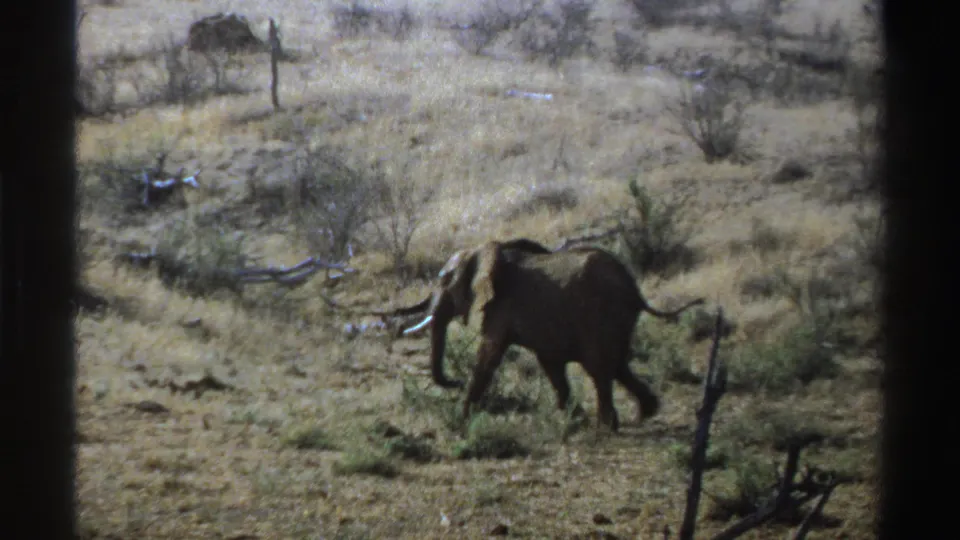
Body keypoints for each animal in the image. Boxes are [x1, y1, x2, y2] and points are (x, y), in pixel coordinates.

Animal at [402, 237, 706, 432]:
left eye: (444, 280)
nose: (456, 381)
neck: (483, 251)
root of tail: (634, 289)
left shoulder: (500, 306)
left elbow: (489, 354)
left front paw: (460, 419)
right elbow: (550, 363)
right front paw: (574, 418)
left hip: (600, 312)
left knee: (599, 367)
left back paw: (606, 428)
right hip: (617, 318)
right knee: (618, 364)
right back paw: (645, 412)